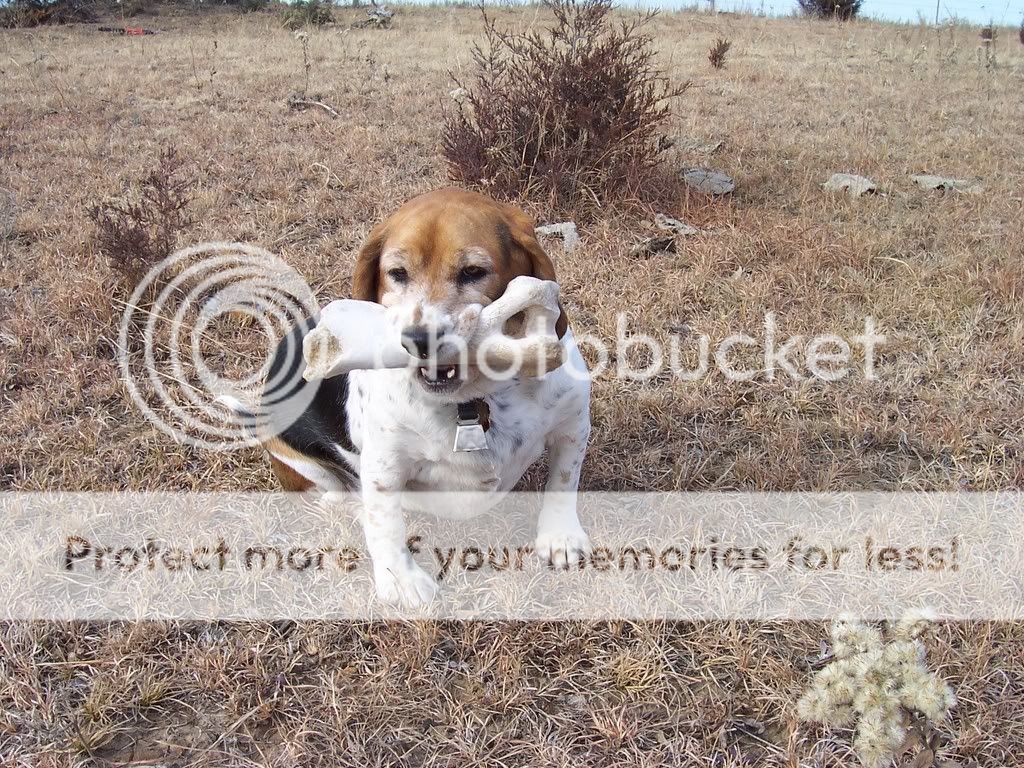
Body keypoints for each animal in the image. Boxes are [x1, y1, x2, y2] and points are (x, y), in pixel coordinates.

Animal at [255, 187, 592, 606]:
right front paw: (400, 581)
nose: (418, 340)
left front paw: (560, 537)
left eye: (472, 272)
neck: (473, 401)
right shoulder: (384, 464)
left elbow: (563, 480)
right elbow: (385, 522)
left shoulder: (573, 423)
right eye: (398, 274)